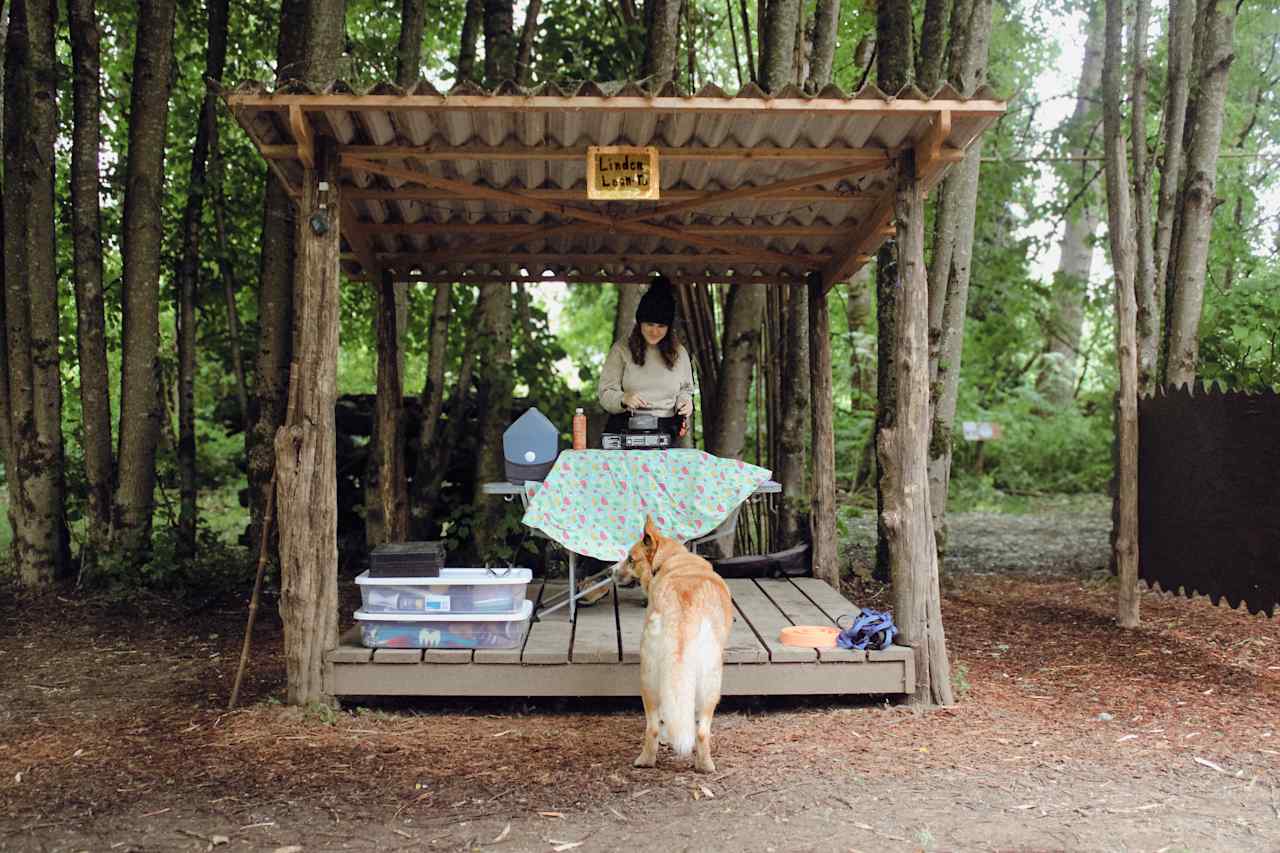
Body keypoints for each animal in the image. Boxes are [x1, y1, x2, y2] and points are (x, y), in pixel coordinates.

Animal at [616, 512, 737, 768]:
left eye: (630, 559)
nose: (612, 572)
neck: (671, 559)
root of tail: (681, 612)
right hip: (709, 682)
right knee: (692, 728)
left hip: (655, 678)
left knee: (662, 726)